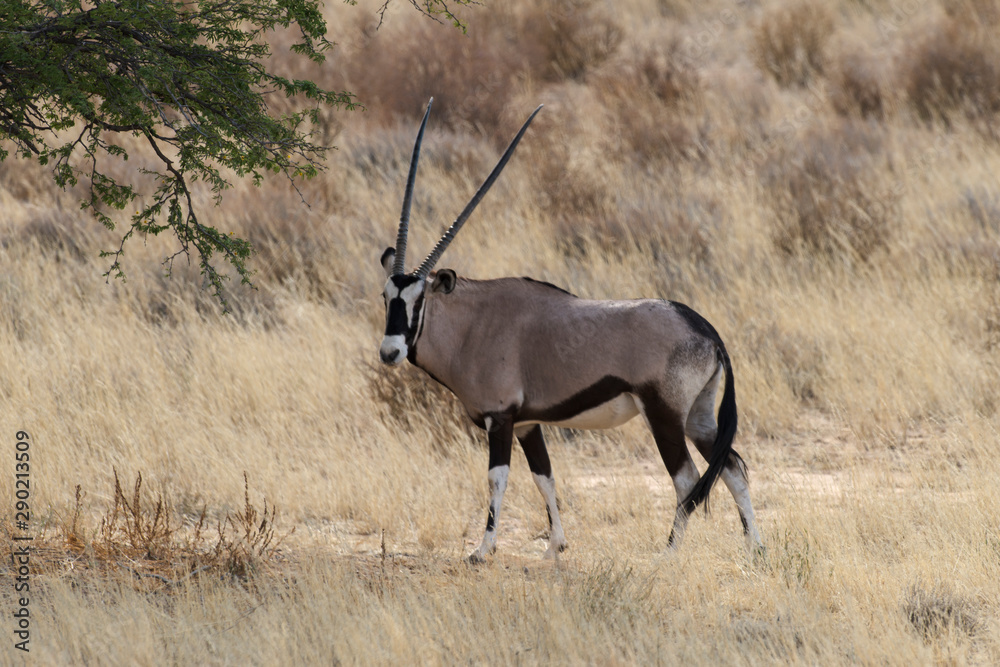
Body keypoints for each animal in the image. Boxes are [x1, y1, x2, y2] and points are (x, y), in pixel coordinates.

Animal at [378, 99, 763, 562]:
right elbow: (544, 476)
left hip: (664, 415)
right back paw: (756, 548)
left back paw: (669, 553)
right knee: (733, 468)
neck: (472, 323)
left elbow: (497, 478)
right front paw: (556, 546)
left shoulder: (500, 419)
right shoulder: (527, 424)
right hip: (698, 417)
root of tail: (706, 330)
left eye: (419, 300)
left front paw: (482, 550)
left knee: (687, 478)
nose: (389, 352)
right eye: (386, 296)